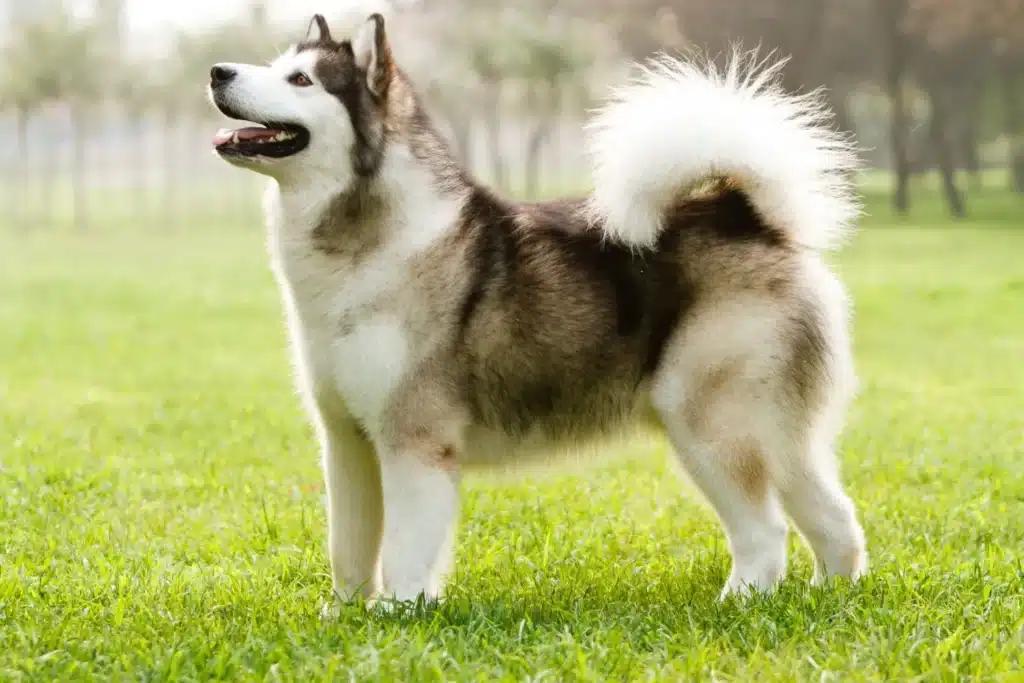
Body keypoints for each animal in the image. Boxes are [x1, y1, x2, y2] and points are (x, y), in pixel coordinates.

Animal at [209, 10, 872, 610]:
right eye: (275, 65)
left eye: (301, 80)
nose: (217, 71)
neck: (363, 244)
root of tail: (744, 216)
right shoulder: (346, 439)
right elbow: (349, 547)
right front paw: (344, 616)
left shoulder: (413, 440)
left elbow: (402, 549)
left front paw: (396, 615)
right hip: (777, 436)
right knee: (835, 517)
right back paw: (829, 597)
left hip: (709, 425)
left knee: (766, 531)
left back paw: (737, 605)